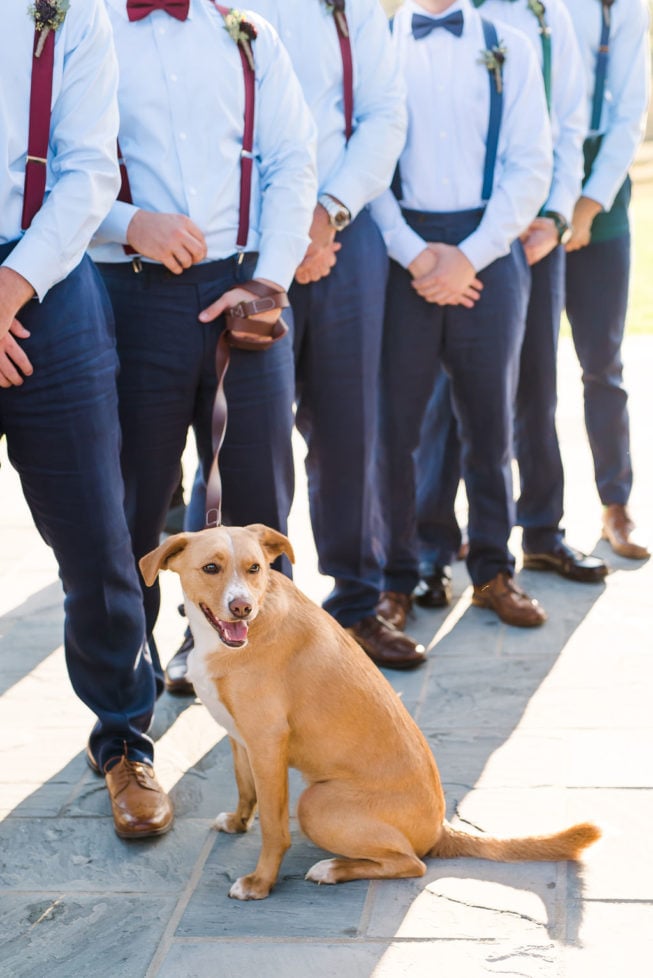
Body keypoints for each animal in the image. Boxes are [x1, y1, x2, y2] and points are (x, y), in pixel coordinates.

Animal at [140, 528, 600, 900]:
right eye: (211, 567)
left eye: (254, 568)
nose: (242, 608)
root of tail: (440, 828)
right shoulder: (240, 737)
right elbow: (244, 789)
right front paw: (237, 823)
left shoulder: (267, 743)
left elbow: (273, 826)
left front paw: (260, 883)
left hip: (316, 803)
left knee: (412, 863)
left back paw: (333, 868)